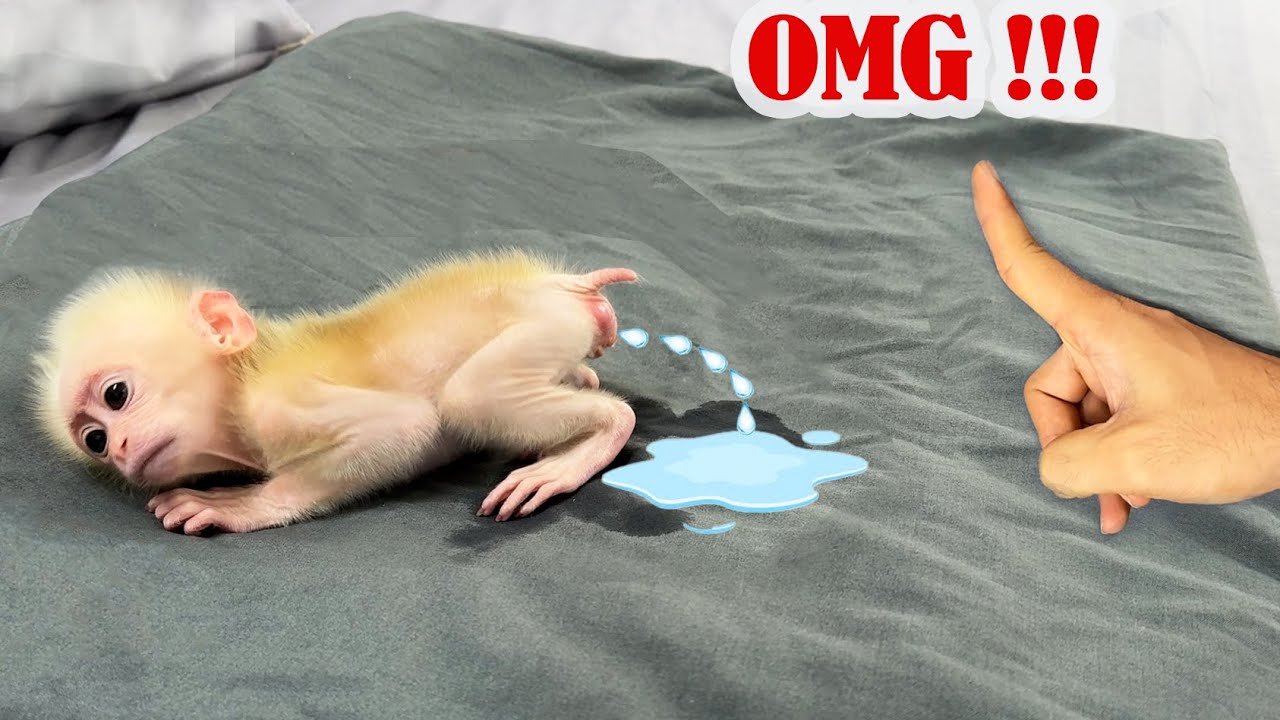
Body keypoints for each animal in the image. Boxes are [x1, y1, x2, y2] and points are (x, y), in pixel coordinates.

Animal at [29, 249, 639, 535]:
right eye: (94, 440)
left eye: (116, 394)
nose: (121, 447)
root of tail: (561, 282)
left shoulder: (276, 405)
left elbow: (404, 428)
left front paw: (242, 506)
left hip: (544, 318)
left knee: (471, 397)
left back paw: (590, 441)